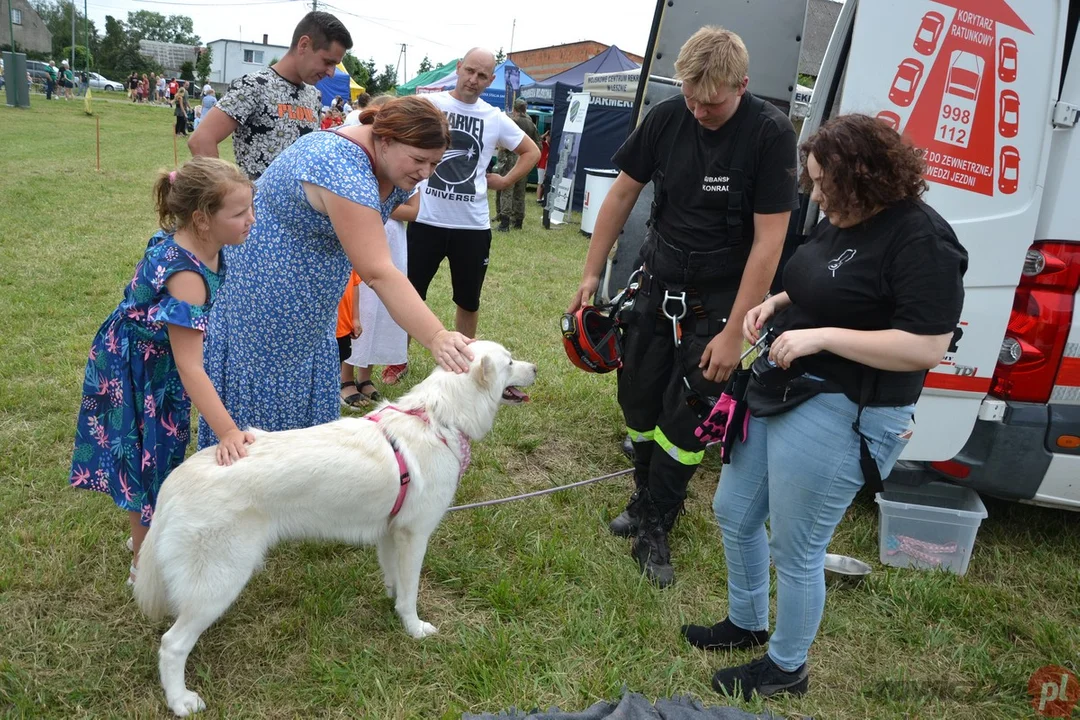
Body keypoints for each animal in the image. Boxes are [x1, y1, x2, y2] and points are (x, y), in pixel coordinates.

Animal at [135, 343, 535, 716]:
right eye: (509, 362)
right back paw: (180, 701)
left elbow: (396, 582)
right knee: (172, 645)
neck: (438, 420)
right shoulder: (414, 536)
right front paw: (415, 629)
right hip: (220, 581)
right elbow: (411, 593)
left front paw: (394, 608)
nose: (535, 368)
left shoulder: (391, 534)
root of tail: (174, 481)